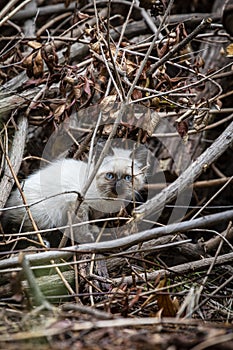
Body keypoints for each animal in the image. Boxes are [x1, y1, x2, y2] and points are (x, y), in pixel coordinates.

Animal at [2, 147, 147, 232]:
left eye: (128, 177)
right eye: (110, 176)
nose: (119, 186)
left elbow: (92, 221)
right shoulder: (79, 202)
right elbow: (82, 226)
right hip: (46, 215)